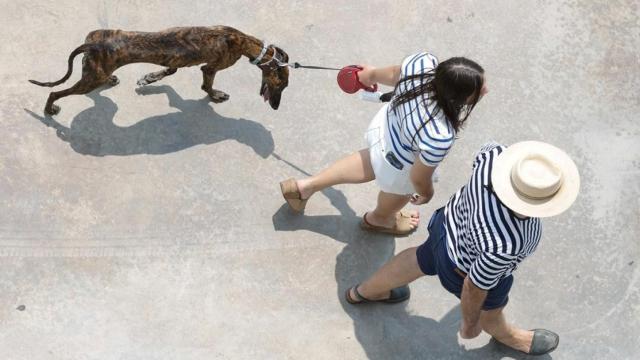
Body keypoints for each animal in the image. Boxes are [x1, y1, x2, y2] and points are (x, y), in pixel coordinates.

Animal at [30, 25, 290, 114]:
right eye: (283, 85)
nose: (276, 107)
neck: (242, 40)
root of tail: (91, 44)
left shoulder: (176, 59)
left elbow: (169, 70)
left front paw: (149, 78)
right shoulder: (211, 67)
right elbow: (206, 85)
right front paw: (215, 95)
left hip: (95, 71)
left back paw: (111, 79)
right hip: (89, 81)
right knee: (55, 92)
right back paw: (50, 109)